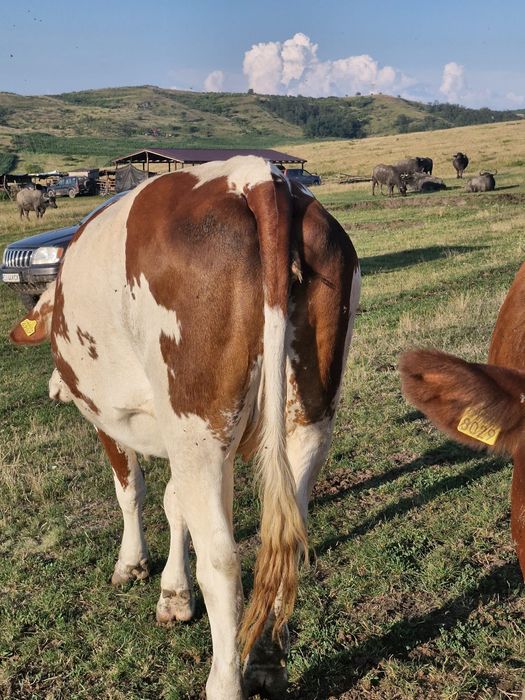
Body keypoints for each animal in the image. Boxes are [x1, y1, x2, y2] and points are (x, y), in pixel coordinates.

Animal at [9, 156, 361, 700]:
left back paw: (226, 681)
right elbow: (177, 505)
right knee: (281, 543)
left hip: (197, 426)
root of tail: (256, 177)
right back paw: (267, 661)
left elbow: (132, 491)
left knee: (224, 560)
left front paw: (133, 565)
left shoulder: (115, 421)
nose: (52, 389)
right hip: (305, 416)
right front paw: (174, 594)